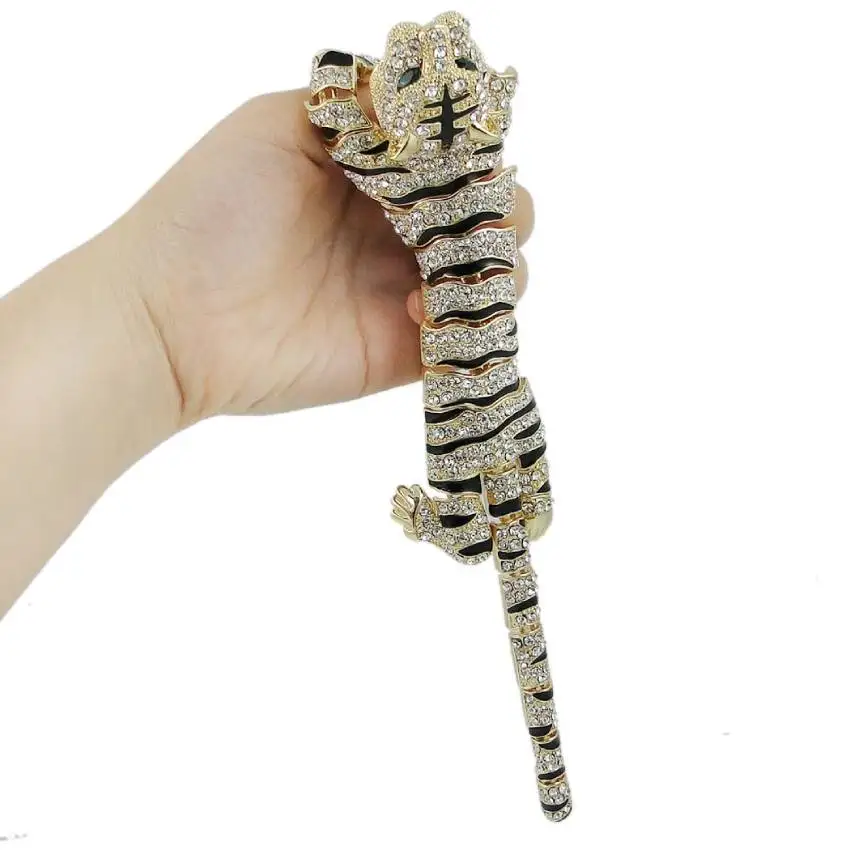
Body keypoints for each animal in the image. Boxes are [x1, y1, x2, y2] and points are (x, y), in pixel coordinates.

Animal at [305, 11, 571, 822]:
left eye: (413, 62)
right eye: (458, 54)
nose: (431, 18)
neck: (446, 136)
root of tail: (497, 467)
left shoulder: (380, 168)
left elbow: (338, 125)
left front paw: (339, 60)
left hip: (445, 465)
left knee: (467, 545)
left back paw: (412, 511)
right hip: (538, 448)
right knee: (540, 519)